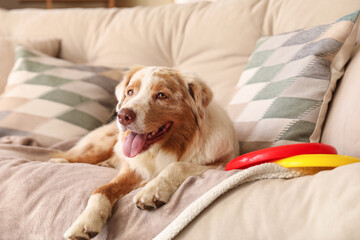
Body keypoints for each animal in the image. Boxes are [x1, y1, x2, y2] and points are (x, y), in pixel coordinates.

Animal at [52, 64, 239, 239]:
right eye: (130, 92)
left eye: (162, 95)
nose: (123, 116)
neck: (161, 150)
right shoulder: (134, 169)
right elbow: (102, 189)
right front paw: (85, 221)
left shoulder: (219, 163)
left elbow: (178, 166)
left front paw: (152, 191)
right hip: (105, 143)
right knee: (81, 155)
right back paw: (61, 161)